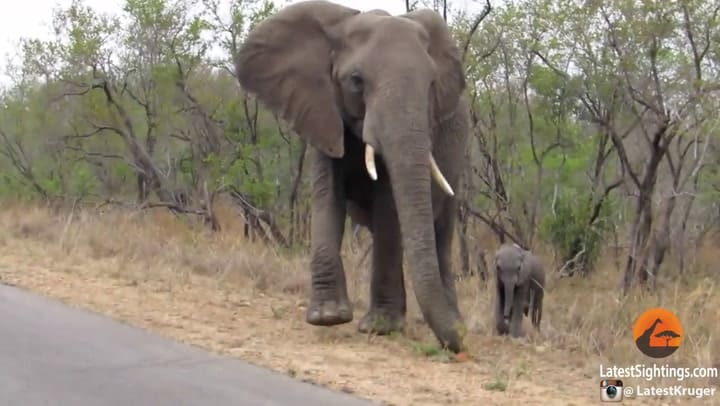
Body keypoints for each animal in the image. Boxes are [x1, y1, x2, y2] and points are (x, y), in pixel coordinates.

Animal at [234, 1, 469, 352]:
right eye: (356, 81)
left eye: (431, 85)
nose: (459, 346)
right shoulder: (321, 111)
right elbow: (326, 195)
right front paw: (328, 317)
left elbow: (389, 205)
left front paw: (380, 327)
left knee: (441, 232)